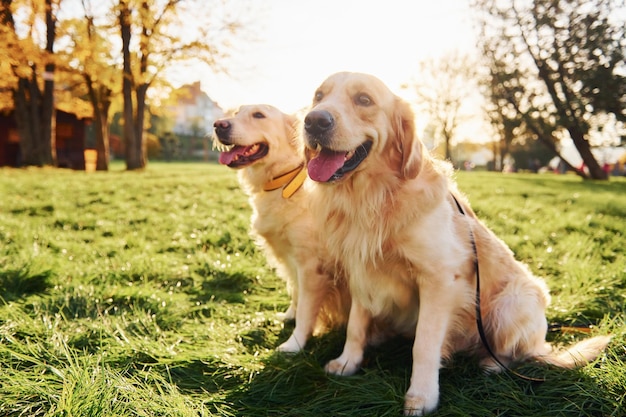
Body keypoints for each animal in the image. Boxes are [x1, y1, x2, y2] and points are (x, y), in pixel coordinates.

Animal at [213, 103, 352, 352]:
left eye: (259, 115)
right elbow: (296, 293)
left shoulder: (312, 266)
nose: (219, 125)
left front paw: (294, 344)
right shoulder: (291, 258)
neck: (282, 180)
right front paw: (289, 316)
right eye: (236, 113)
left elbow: (306, 309)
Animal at [300, 71, 608, 412]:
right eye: (318, 96)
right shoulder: (360, 271)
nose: (314, 121)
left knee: (517, 352)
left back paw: (492, 363)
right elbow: (355, 325)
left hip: (514, 301)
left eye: (364, 99)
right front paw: (347, 362)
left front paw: (422, 396)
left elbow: (424, 345)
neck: (373, 196)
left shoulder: (439, 279)